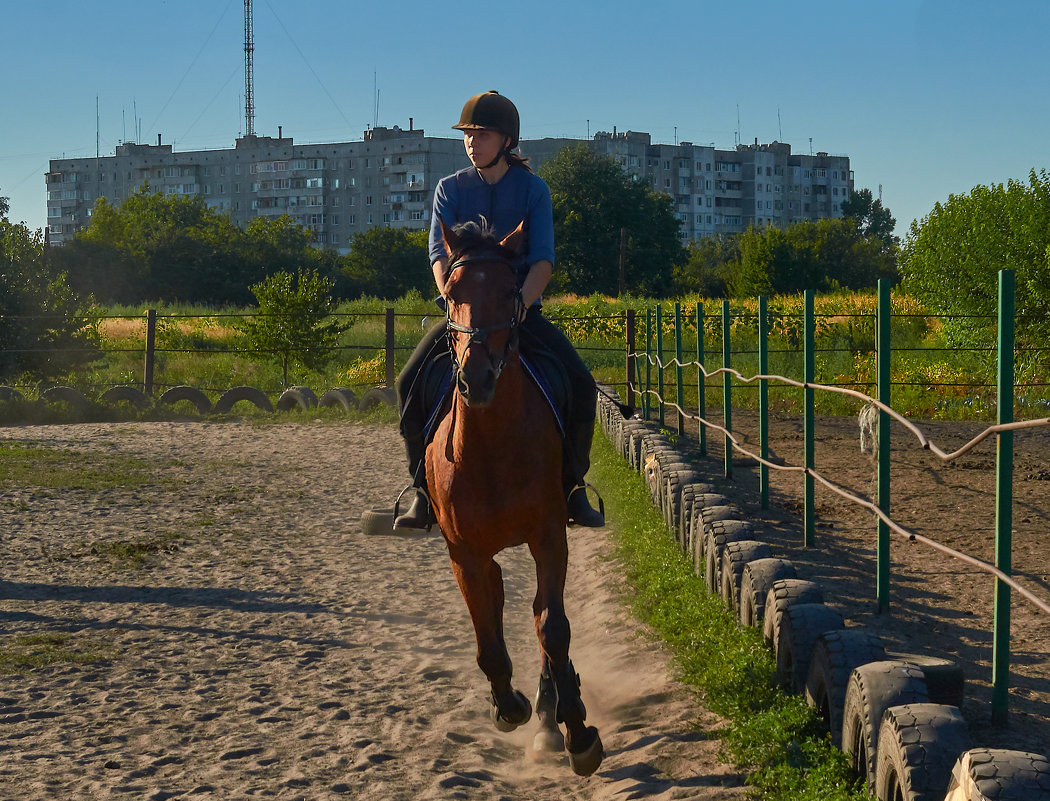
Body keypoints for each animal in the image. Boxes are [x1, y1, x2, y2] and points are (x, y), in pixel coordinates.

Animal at [422, 217, 604, 776]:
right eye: (451, 294)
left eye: (509, 291)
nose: (476, 378)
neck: (491, 446)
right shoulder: (465, 554)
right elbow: (487, 637)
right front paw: (507, 705)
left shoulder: (548, 538)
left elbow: (554, 629)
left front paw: (577, 730)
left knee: (545, 621)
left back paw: (554, 717)